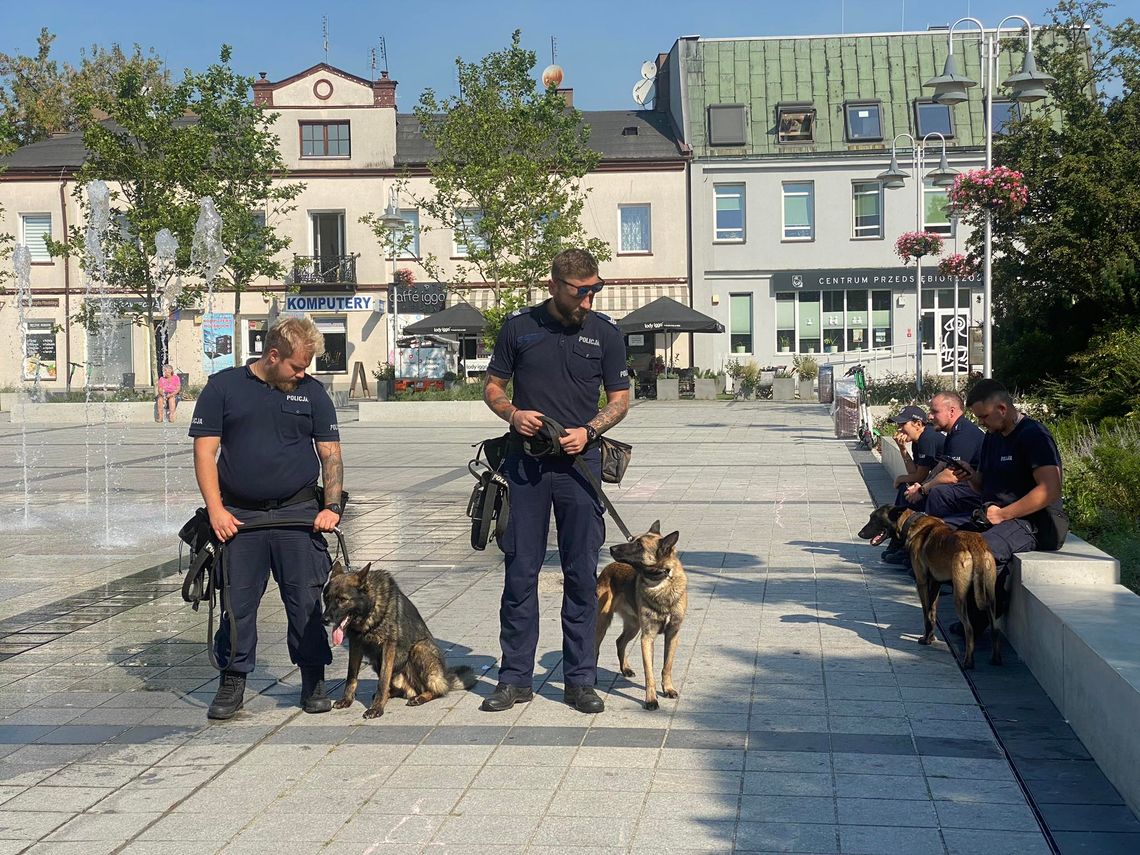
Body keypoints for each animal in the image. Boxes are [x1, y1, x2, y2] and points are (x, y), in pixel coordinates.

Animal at [321, 558, 476, 720]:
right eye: (326, 598)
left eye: (342, 600)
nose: (324, 619)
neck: (370, 609)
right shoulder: (355, 645)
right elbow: (351, 676)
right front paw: (347, 699)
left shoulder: (388, 646)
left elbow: (382, 681)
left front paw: (376, 708)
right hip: (377, 662)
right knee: (397, 689)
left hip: (419, 648)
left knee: (437, 690)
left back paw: (420, 697)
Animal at [597, 522, 684, 711]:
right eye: (632, 540)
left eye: (638, 545)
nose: (612, 548)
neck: (660, 582)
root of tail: (608, 567)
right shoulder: (647, 638)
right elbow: (649, 674)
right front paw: (651, 700)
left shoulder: (672, 635)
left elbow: (667, 667)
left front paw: (668, 689)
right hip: (602, 624)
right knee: (594, 648)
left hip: (633, 626)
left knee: (620, 641)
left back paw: (625, 669)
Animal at [857, 506, 1003, 674]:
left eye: (874, 518)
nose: (860, 534)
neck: (912, 523)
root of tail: (974, 543)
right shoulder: (935, 583)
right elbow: (932, 612)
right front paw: (931, 637)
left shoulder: (921, 582)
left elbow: (926, 613)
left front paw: (926, 640)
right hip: (991, 597)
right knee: (995, 627)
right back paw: (995, 659)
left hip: (960, 598)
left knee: (969, 629)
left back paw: (968, 662)